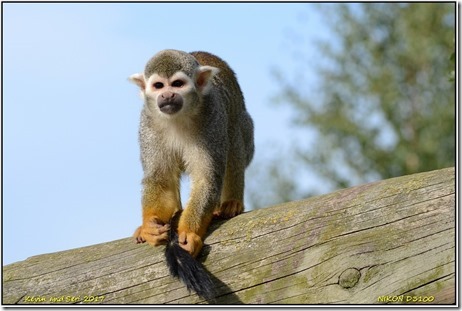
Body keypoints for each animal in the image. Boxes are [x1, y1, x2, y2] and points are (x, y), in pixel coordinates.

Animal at [128, 49, 254, 300]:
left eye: (177, 84)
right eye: (158, 85)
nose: (167, 95)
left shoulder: (212, 116)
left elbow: (207, 180)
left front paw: (188, 232)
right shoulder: (147, 123)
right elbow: (160, 180)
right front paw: (149, 226)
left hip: (245, 133)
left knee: (233, 133)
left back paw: (231, 203)